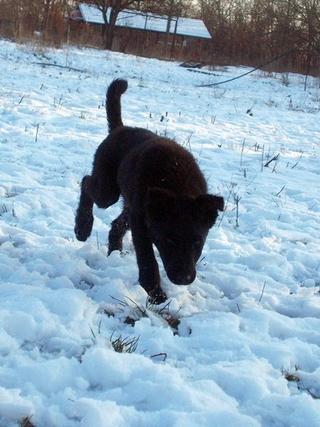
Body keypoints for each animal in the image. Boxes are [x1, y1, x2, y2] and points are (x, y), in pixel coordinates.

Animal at [75, 78, 225, 302]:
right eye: (169, 241)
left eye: (197, 242)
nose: (184, 278)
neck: (178, 185)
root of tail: (119, 129)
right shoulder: (142, 226)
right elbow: (148, 260)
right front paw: (156, 293)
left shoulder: (143, 215)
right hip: (109, 192)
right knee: (86, 182)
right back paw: (82, 227)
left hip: (132, 203)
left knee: (116, 224)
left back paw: (114, 252)